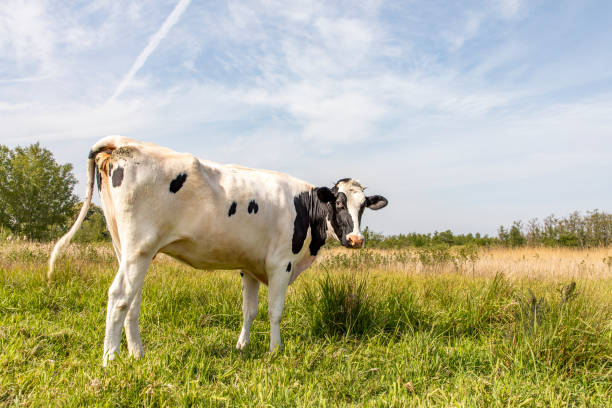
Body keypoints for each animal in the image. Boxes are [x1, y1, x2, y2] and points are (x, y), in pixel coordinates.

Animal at [50, 136, 390, 366]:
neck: (304, 207)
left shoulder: (250, 266)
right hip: (139, 248)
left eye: (363, 206)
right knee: (119, 295)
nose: (356, 240)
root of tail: (124, 143)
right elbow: (275, 311)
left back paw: (137, 353)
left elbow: (249, 310)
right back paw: (111, 358)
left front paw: (242, 347)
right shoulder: (281, 264)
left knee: (132, 300)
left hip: (126, 248)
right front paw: (275, 350)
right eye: (339, 203)